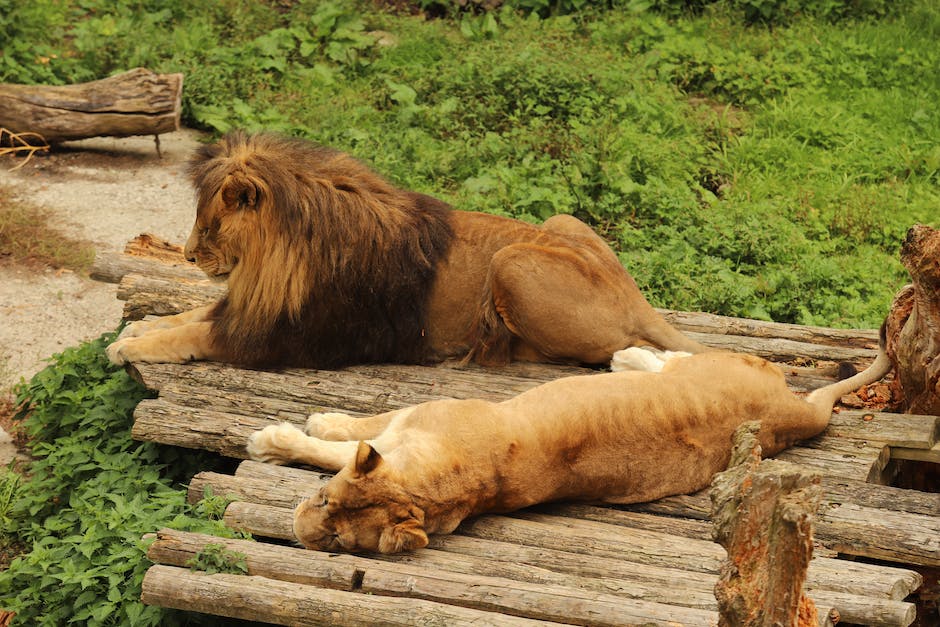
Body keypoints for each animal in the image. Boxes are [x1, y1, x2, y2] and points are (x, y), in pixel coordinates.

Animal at [104, 131, 704, 368]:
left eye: (209, 227)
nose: (187, 256)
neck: (275, 259)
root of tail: (633, 296)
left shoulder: (288, 337)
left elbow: (192, 333)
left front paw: (131, 346)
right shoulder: (252, 306)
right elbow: (190, 314)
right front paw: (139, 329)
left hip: (510, 262)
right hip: (561, 221)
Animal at [246, 344, 892, 556]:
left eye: (335, 537)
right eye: (324, 507)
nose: (300, 529)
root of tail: (789, 410)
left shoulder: (413, 418)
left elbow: (339, 439)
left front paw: (280, 437)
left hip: (717, 365)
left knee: (679, 355)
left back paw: (628, 356)